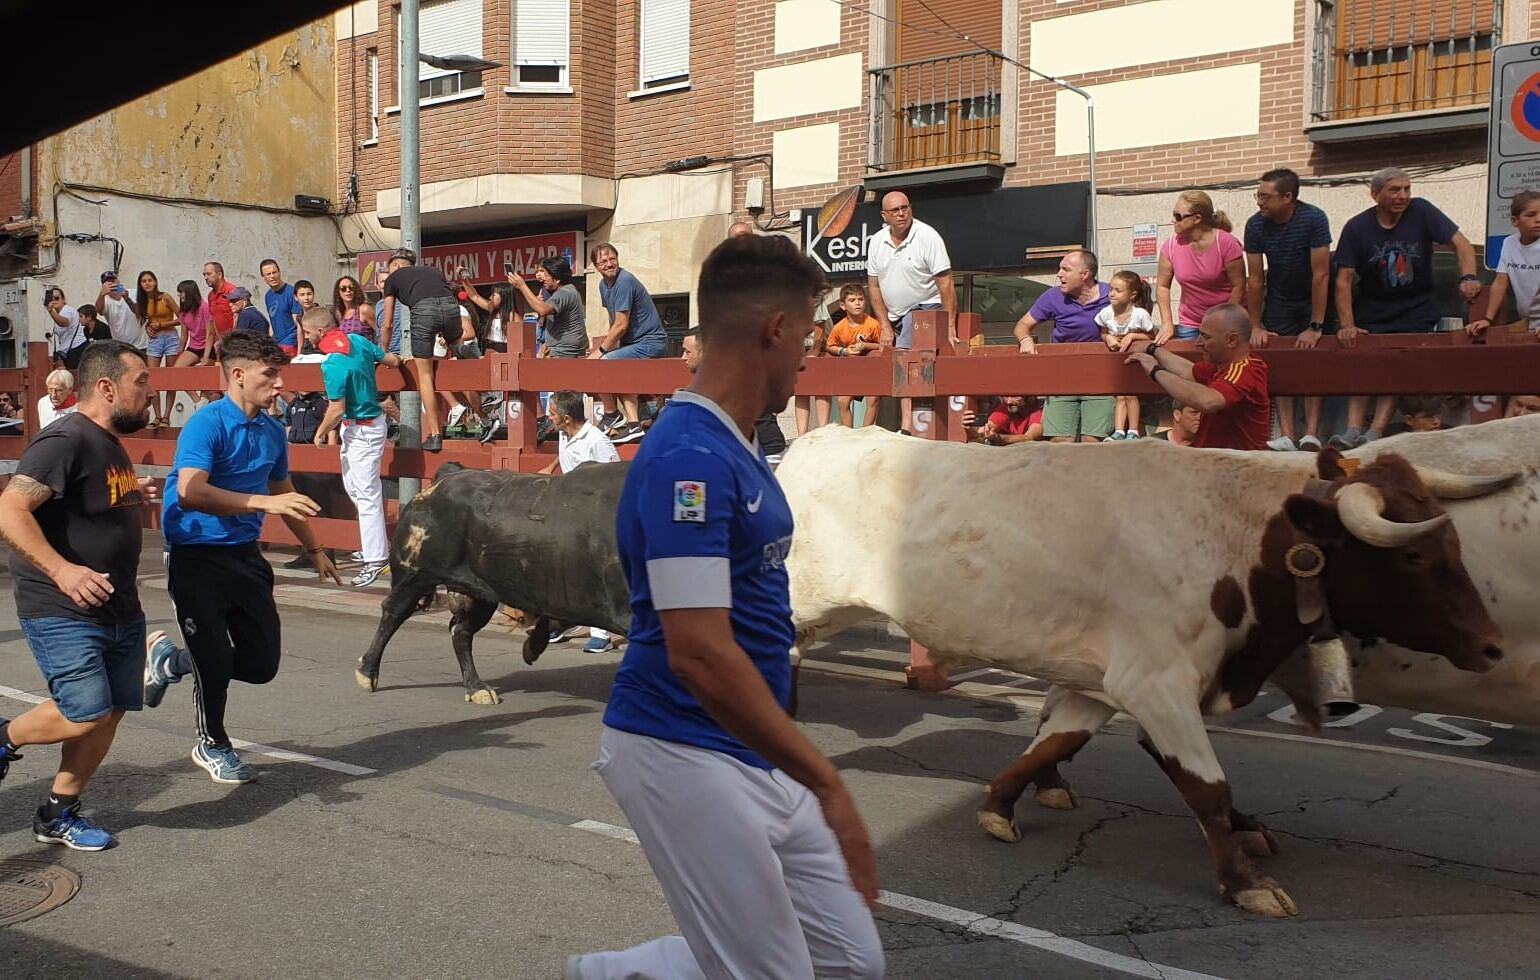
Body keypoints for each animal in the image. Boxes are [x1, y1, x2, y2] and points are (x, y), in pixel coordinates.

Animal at [782, 428, 1515, 918]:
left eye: (1451, 541)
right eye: (1414, 557)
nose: (1492, 647)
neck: (1239, 539)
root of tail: (818, 438)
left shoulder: (1104, 681)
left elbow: (1055, 743)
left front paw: (998, 804)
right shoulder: (1155, 683)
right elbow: (1205, 786)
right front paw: (1246, 882)